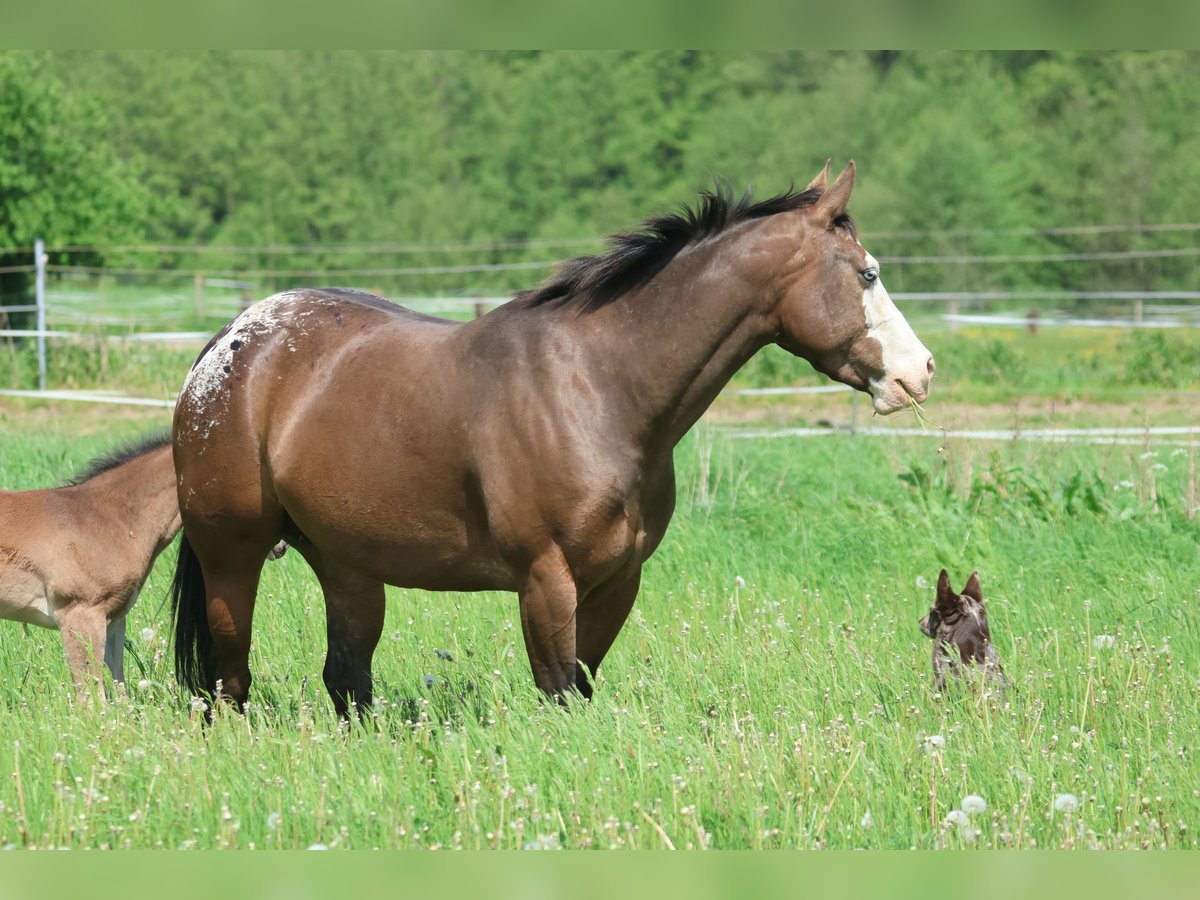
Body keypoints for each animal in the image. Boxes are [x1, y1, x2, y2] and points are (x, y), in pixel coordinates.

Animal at [169, 158, 936, 715]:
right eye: (867, 273)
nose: (920, 371)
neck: (598, 386)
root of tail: (229, 344)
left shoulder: (617, 582)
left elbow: (584, 690)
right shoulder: (546, 581)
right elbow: (559, 693)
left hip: (348, 565)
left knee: (347, 680)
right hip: (231, 556)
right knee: (229, 684)